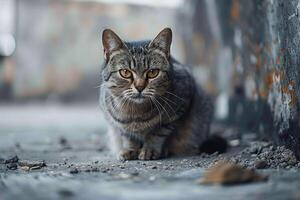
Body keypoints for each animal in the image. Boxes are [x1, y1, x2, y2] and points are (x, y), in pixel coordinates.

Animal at [99, 27, 214, 160]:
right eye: (125, 72)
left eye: (153, 72)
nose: (139, 87)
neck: (136, 114)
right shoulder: (118, 124)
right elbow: (128, 136)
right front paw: (130, 149)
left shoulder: (178, 110)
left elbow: (158, 133)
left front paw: (150, 149)